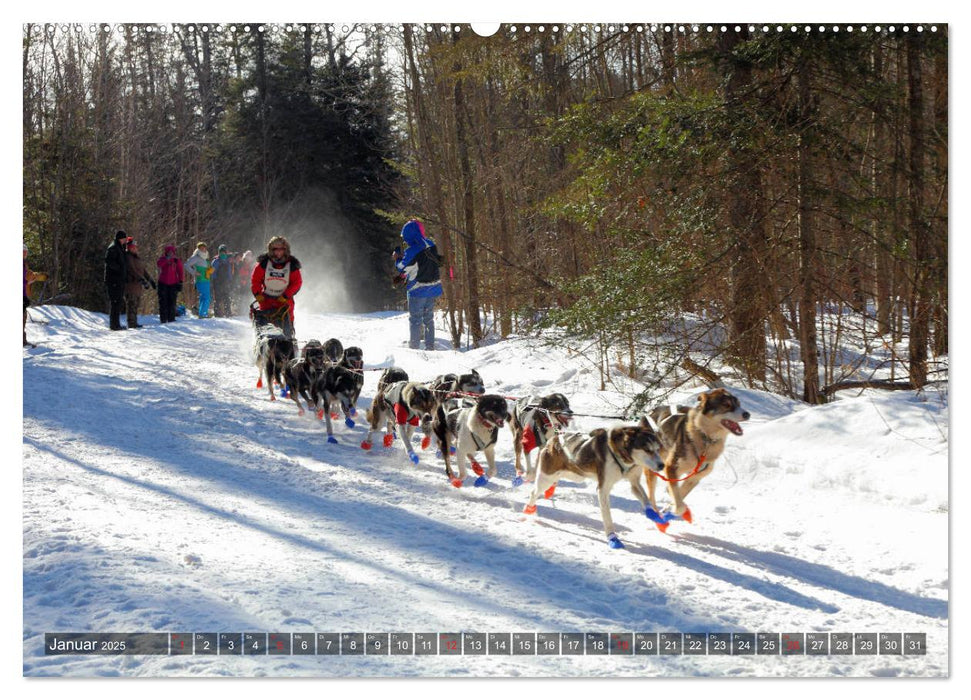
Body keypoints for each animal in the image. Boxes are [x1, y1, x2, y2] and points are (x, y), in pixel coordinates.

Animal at [524, 418, 668, 548]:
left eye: (657, 449)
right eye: (647, 449)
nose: (662, 465)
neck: (620, 454)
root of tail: (554, 438)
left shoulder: (634, 482)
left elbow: (646, 500)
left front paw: (657, 518)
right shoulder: (603, 489)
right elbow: (607, 517)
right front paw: (613, 538)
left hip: (573, 474)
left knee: (555, 481)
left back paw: (549, 491)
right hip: (546, 477)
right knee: (534, 492)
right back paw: (529, 509)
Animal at [644, 388, 752, 532]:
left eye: (739, 404)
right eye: (726, 405)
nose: (747, 414)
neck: (706, 438)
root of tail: (653, 411)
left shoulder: (695, 477)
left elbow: (679, 493)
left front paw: (670, 506)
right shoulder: (671, 467)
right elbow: (679, 502)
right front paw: (675, 509)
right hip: (653, 467)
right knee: (651, 495)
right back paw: (656, 513)